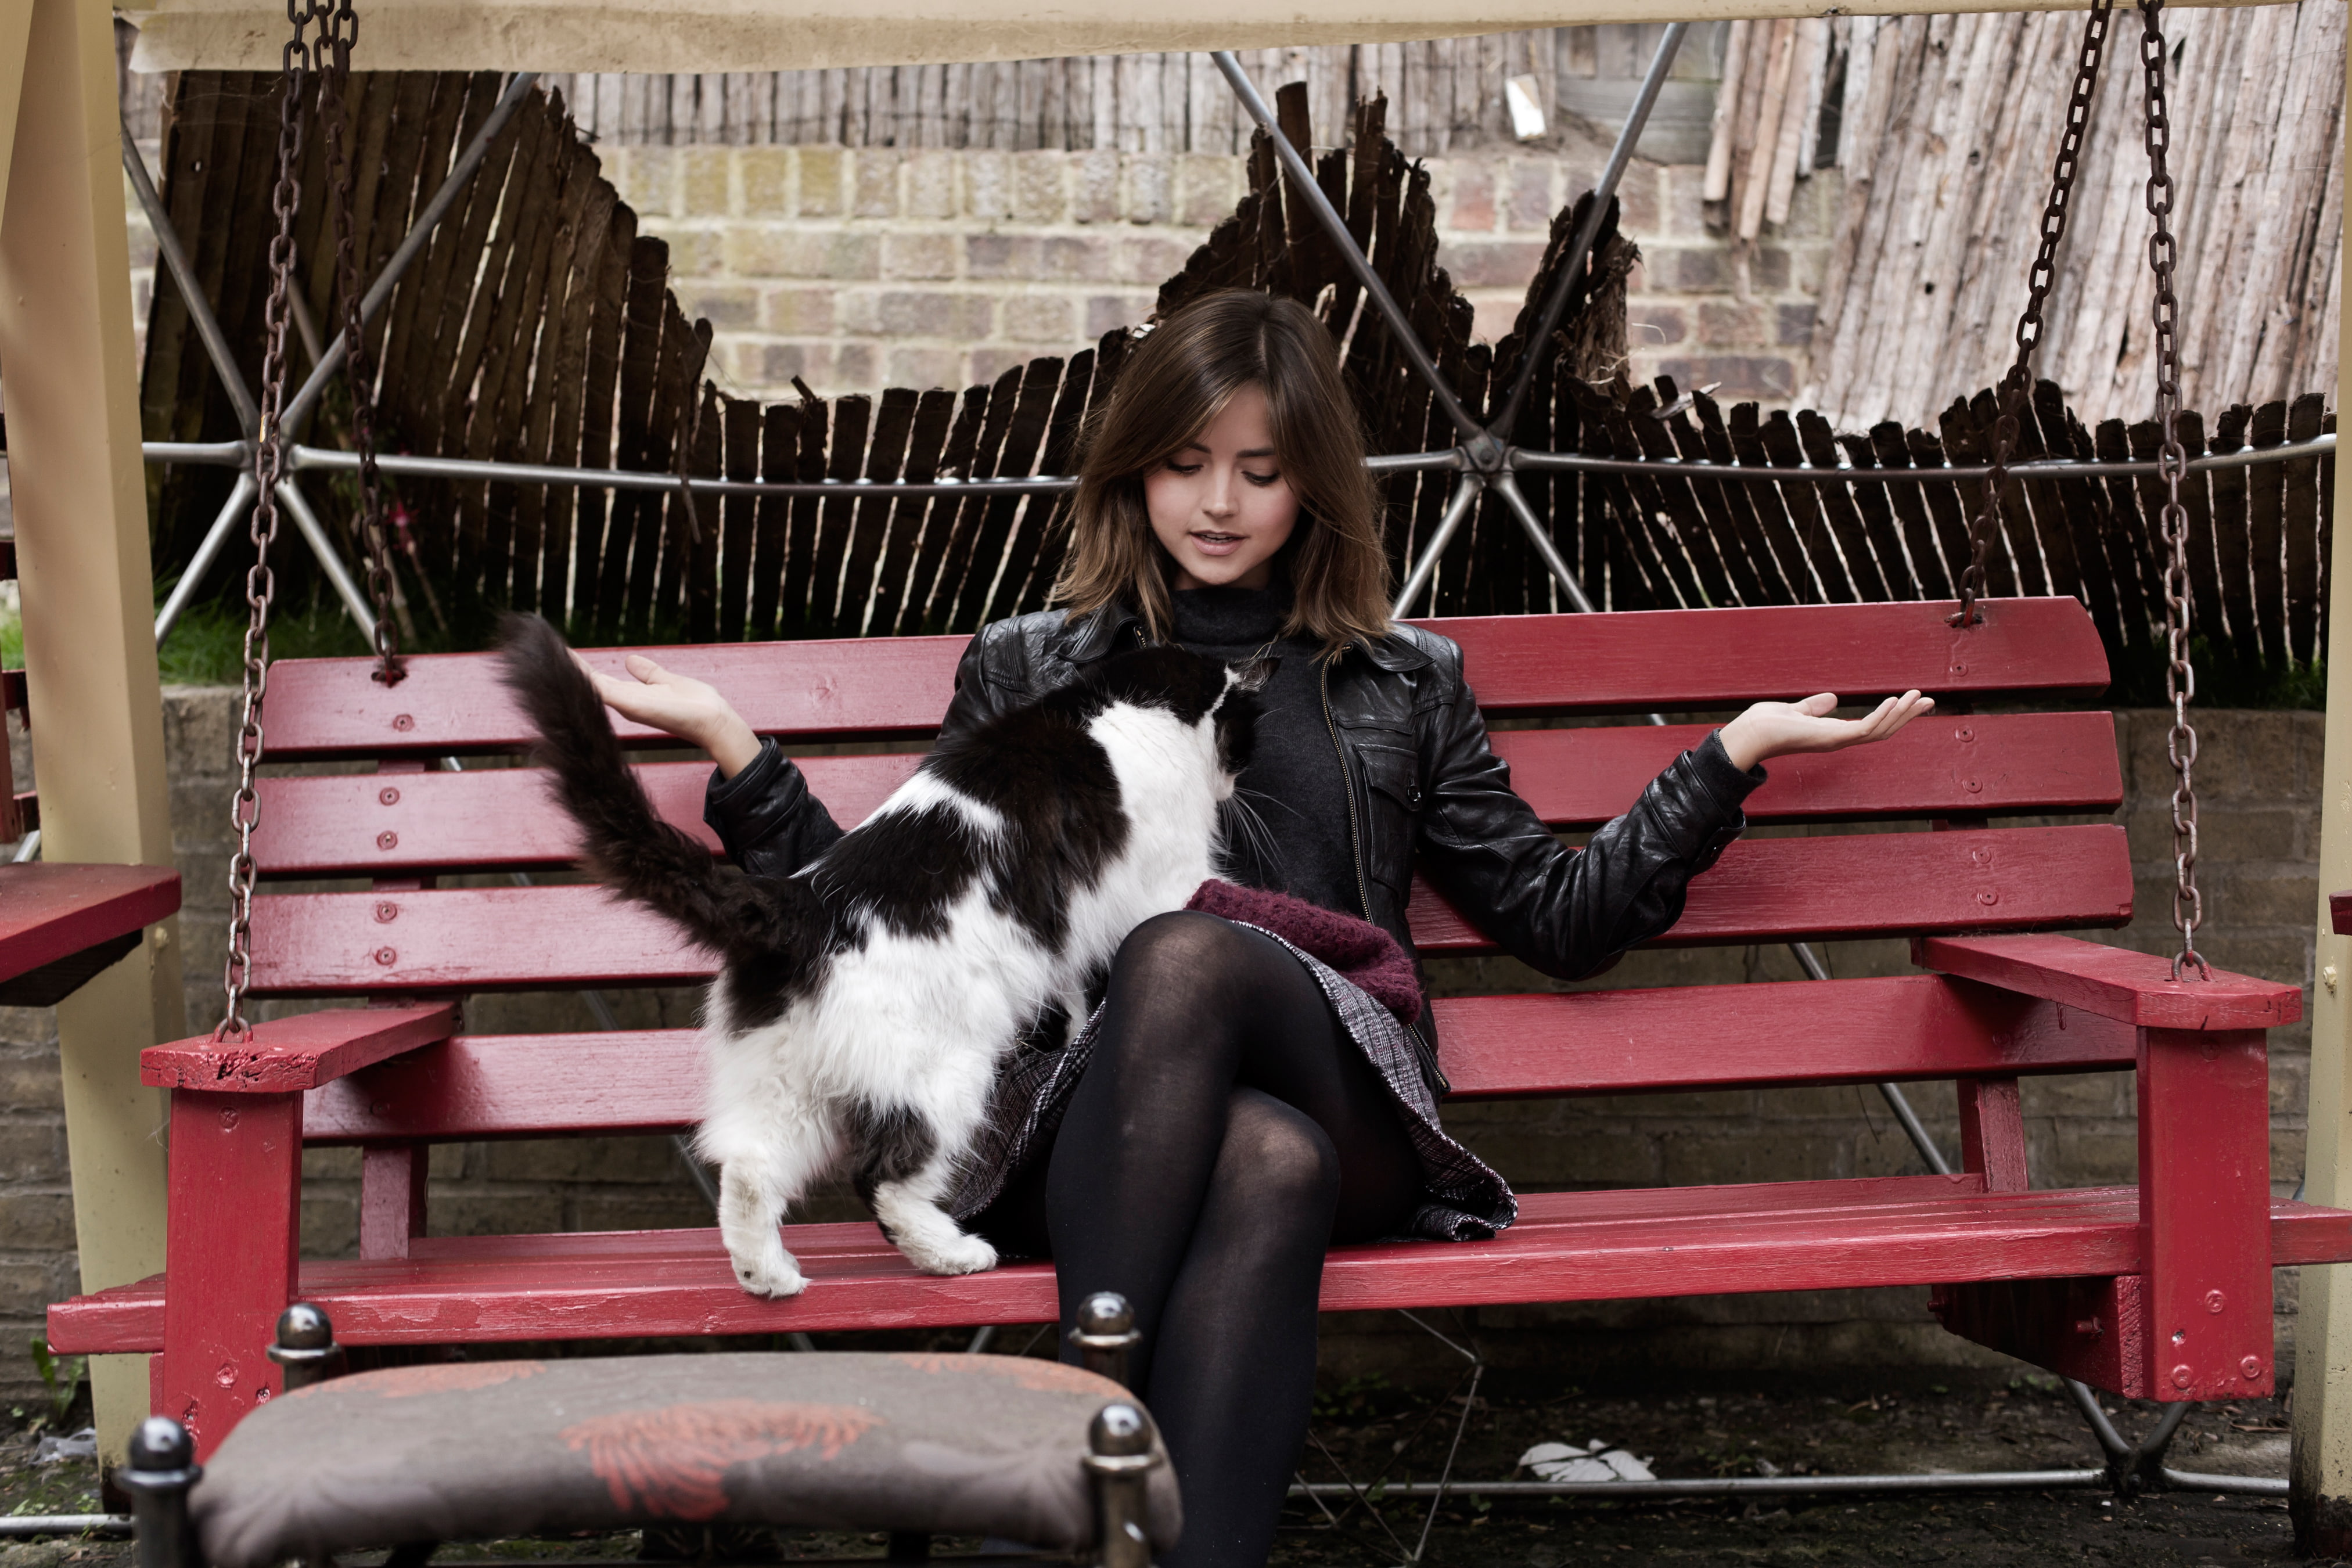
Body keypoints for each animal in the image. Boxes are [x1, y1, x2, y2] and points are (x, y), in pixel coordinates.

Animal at [498, 620, 1270, 1297]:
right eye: (1245, 742)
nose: (1237, 785)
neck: (1117, 702)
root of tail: (802, 905)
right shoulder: (1171, 877)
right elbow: (1226, 896)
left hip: (792, 1088)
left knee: (747, 1171)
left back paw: (768, 1277)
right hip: (942, 1076)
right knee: (884, 1181)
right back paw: (953, 1254)